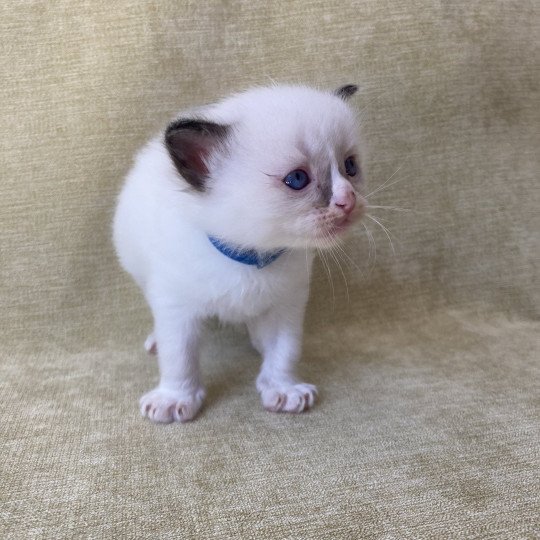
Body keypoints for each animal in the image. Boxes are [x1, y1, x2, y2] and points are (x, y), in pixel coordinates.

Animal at [114, 83, 368, 422]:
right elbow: (179, 358)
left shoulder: (287, 305)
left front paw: (283, 390)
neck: (249, 256)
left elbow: (284, 352)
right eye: (297, 179)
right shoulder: (176, 307)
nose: (348, 200)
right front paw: (174, 398)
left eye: (350, 167)